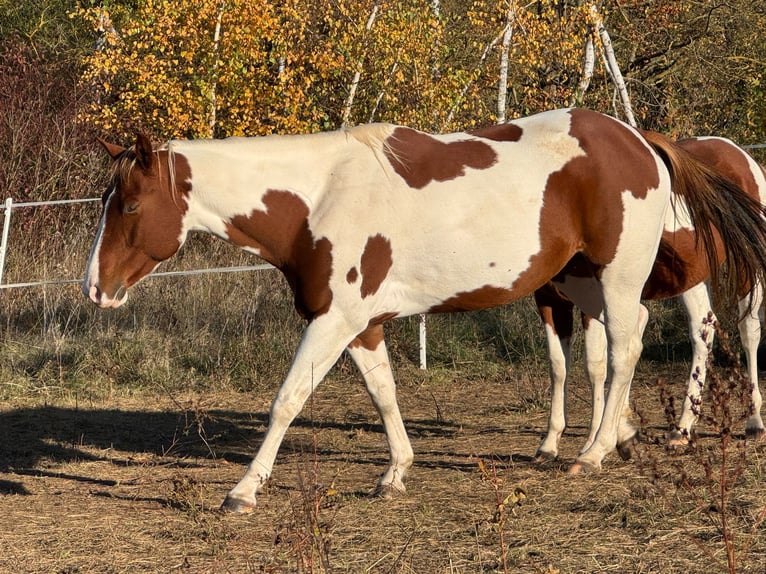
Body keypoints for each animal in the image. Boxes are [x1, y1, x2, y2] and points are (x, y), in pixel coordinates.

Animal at [536, 136, 766, 464]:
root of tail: (739, 154)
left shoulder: (596, 300)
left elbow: (596, 365)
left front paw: (594, 442)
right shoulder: (548, 300)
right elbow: (558, 365)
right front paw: (550, 443)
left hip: (748, 266)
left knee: (749, 331)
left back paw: (753, 421)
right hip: (693, 277)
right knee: (703, 330)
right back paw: (682, 429)